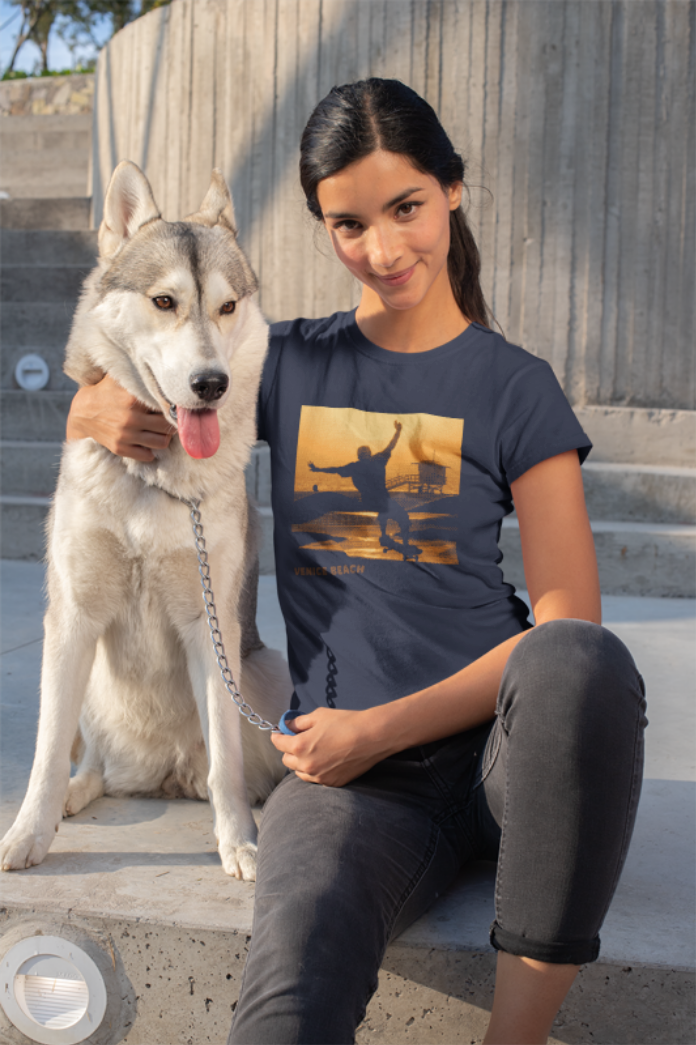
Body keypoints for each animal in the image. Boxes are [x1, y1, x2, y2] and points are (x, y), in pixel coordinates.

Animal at [0, 160, 286, 881]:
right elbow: (46, 752)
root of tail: (161, 774)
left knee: (232, 766)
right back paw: (73, 796)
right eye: (164, 302)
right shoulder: (71, 618)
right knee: (92, 762)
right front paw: (29, 831)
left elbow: (228, 766)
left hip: (265, 670)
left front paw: (239, 841)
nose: (211, 383)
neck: (153, 474)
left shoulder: (211, 629)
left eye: (227, 307)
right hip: (83, 677)